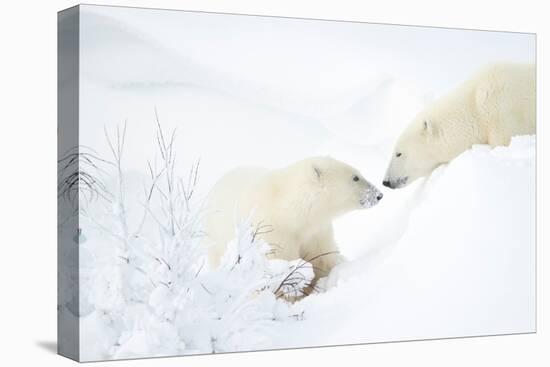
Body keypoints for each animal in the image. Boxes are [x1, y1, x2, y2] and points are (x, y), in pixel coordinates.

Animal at [204, 157, 384, 286]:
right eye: (355, 177)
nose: (379, 194)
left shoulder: (316, 231)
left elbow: (322, 257)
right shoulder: (275, 233)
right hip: (217, 238)